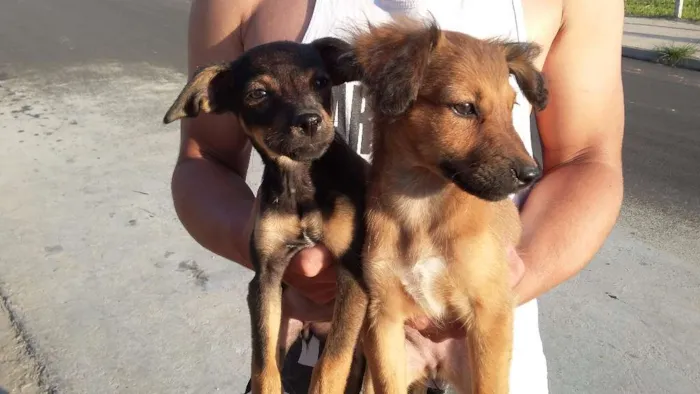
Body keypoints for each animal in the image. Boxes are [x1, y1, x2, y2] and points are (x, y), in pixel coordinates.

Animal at [163, 37, 372, 394]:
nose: (310, 121)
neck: (300, 180)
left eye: (321, 82)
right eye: (258, 94)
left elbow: (331, 363)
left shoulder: (353, 271)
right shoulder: (265, 278)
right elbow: (263, 363)